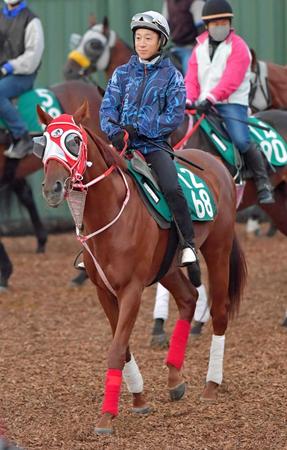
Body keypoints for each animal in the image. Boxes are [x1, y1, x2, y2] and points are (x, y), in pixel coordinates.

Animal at [36, 103, 248, 436]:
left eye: (73, 141)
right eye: (43, 142)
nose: (52, 188)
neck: (110, 214)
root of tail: (215, 162)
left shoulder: (131, 290)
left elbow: (116, 349)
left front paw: (106, 417)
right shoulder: (104, 291)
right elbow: (121, 347)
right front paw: (138, 399)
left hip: (218, 248)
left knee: (219, 312)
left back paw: (212, 385)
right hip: (168, 267)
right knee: (188, 298)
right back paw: (174, 378)